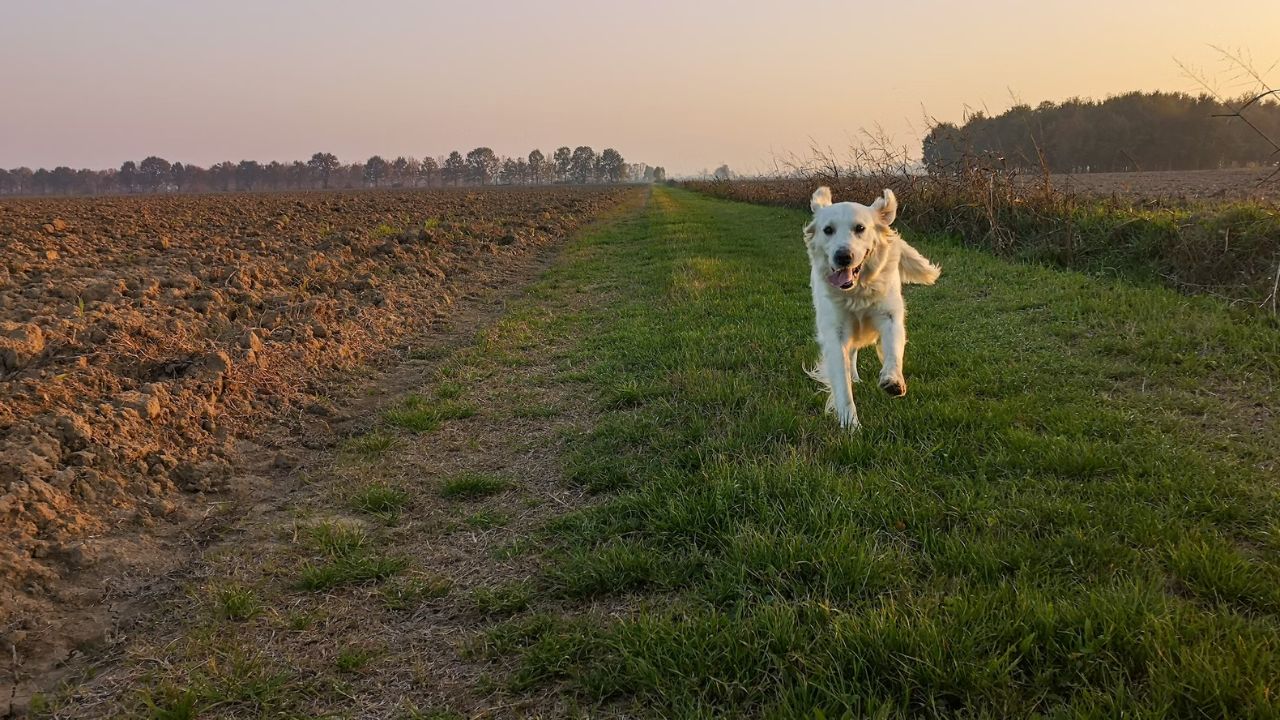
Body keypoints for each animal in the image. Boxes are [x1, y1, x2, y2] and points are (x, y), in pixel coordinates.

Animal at [808, 188, 942, 427]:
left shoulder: (890, 317)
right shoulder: (835, 331)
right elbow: (842, 383)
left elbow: (893, 352)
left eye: (860, 228)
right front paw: (851, 425)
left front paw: (893, 380)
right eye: (828, 230)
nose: (843, 256)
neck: (857, 292)